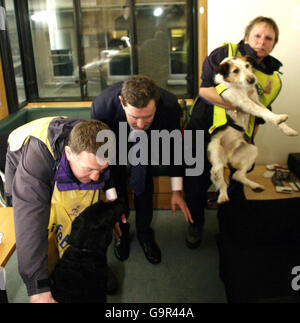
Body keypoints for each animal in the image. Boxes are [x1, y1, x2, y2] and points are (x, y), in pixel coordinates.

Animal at [209, 55, 298, 202]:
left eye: (247, 66)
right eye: (235, 71)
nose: (252, 80)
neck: (241, 87)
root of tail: (228, 158)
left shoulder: (256, 100)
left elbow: (266, 111)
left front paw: (287, 129)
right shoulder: (244, 102)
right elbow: (262, 112)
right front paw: (277, 118)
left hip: (252, 151)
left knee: (237, 175)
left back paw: (255, 185)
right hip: (216, 158)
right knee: (220, 179)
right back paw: (222, 196)